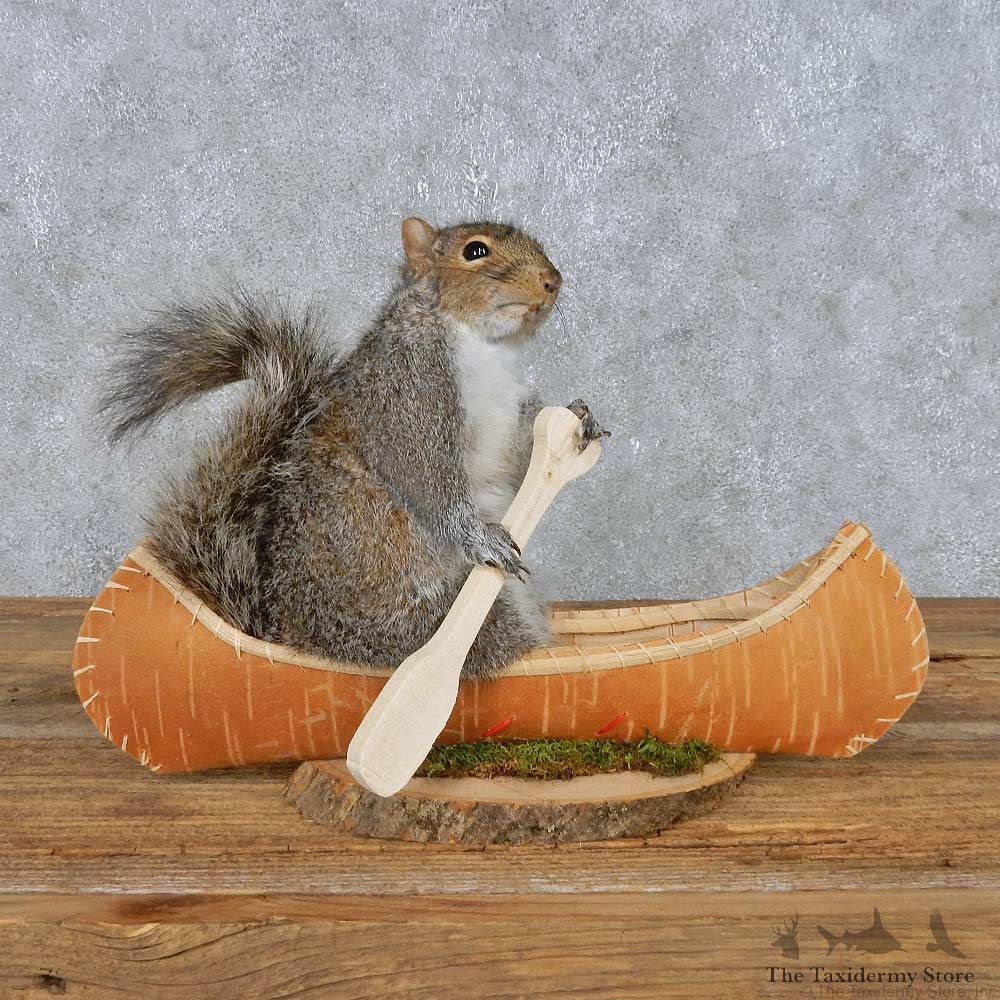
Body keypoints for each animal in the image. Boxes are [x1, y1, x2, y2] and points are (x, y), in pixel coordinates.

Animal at [100, 217, 608, 679]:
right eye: (475, 251)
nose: (552, 281)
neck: (480, 342)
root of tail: (290, 636)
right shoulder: (407, 396)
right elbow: (427, 481)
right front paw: (481, 538)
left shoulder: (509, 407)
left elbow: (527, 458)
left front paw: (581, 418)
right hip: (437, 624)